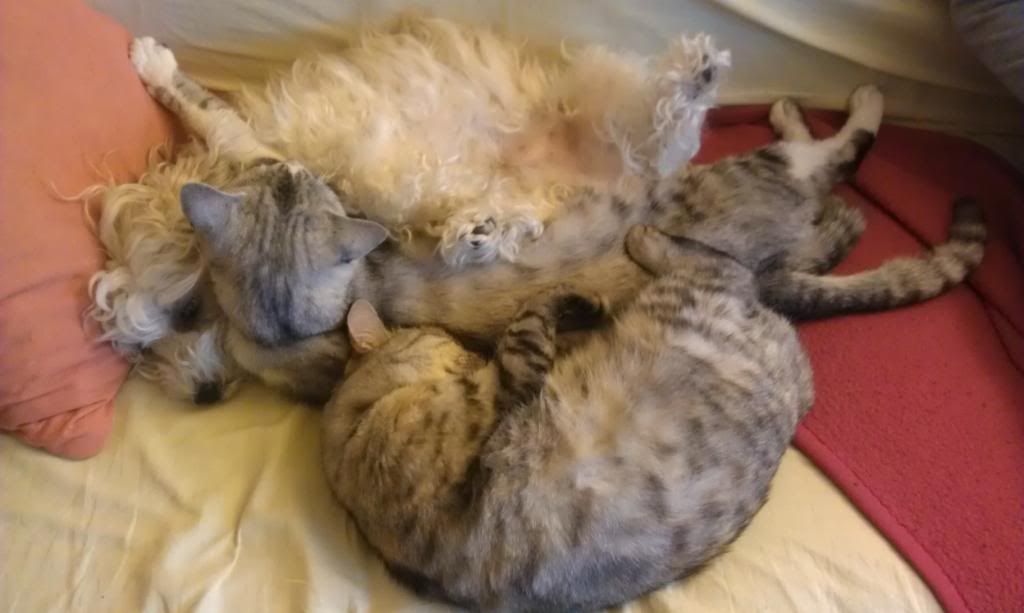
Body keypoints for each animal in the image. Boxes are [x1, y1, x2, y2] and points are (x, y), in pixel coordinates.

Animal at [178, 84, 987, 403]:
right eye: (298, 181)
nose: (303, 172)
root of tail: (766, 278)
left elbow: (216, 119)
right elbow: (220, 120)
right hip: (748, 175)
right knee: (830, 156)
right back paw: (832, 111)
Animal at [322, 222, 815, 612]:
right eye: (448, 342)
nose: (474, 352)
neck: (355, 432)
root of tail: (797, 378)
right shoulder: (503, 384)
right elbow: (532, 313)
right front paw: (579, 299)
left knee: (737, 271)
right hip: (689, 298)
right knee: (725, 266)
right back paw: (644, 238)